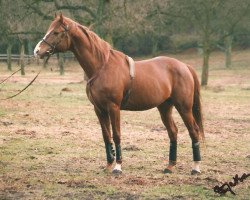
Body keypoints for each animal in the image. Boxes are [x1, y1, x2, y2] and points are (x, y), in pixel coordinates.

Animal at [34, 14, 204, 175]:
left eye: (56, 32)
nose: (37, 51)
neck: (102, 67)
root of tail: (185, 66)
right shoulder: (99, 109)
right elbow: (106, 136)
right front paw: (108, 165)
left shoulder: (113, 107)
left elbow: (116, 135)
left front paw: (118, 167)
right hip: (164, 107)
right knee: (173, 132)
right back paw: (170, 166)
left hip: (184, 108)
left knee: (194, 131)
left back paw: (196, 168)